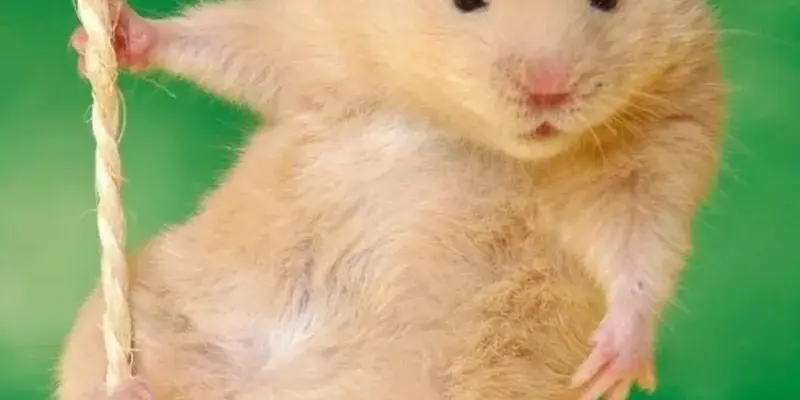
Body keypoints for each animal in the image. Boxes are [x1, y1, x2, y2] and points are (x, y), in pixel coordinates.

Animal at [66, 0, 726, 399]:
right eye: (465, 2)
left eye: (610, 1)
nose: (549, 92)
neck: (477, 136)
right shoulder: (315, 44)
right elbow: (235, 42)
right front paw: (108, 35)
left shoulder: (664, 149)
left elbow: (640, 252)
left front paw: (612, 369)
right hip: (142, 314)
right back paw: (129, 387)